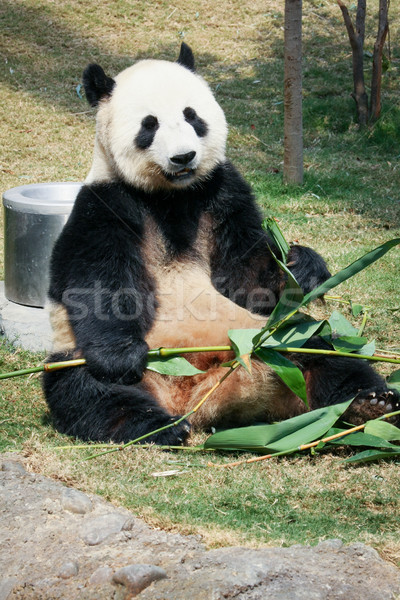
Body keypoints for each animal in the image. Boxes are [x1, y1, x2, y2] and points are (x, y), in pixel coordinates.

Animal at [42, 43, 398, 446]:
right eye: (150, 125)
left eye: (192, 116)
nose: (183, 157)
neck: (171, 195)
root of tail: (194, 393)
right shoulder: (106, 202)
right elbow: (98, 280)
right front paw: (121, 357)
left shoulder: (221, 192)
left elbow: (249, 276)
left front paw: (300, 266)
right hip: (75, 355)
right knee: (90, 392)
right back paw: (158, 426)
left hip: (275, 337)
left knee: (325, 351)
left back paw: (371, 403)